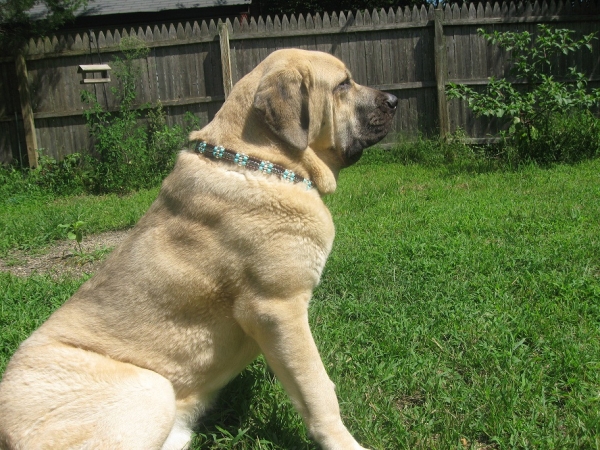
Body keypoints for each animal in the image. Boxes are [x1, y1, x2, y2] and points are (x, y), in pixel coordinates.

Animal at [0, 49, 396, 450]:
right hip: (151, 389)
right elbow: (317, 386)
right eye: (343, 85)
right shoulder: (277, 308)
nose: (394, 100)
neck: (265, 161)